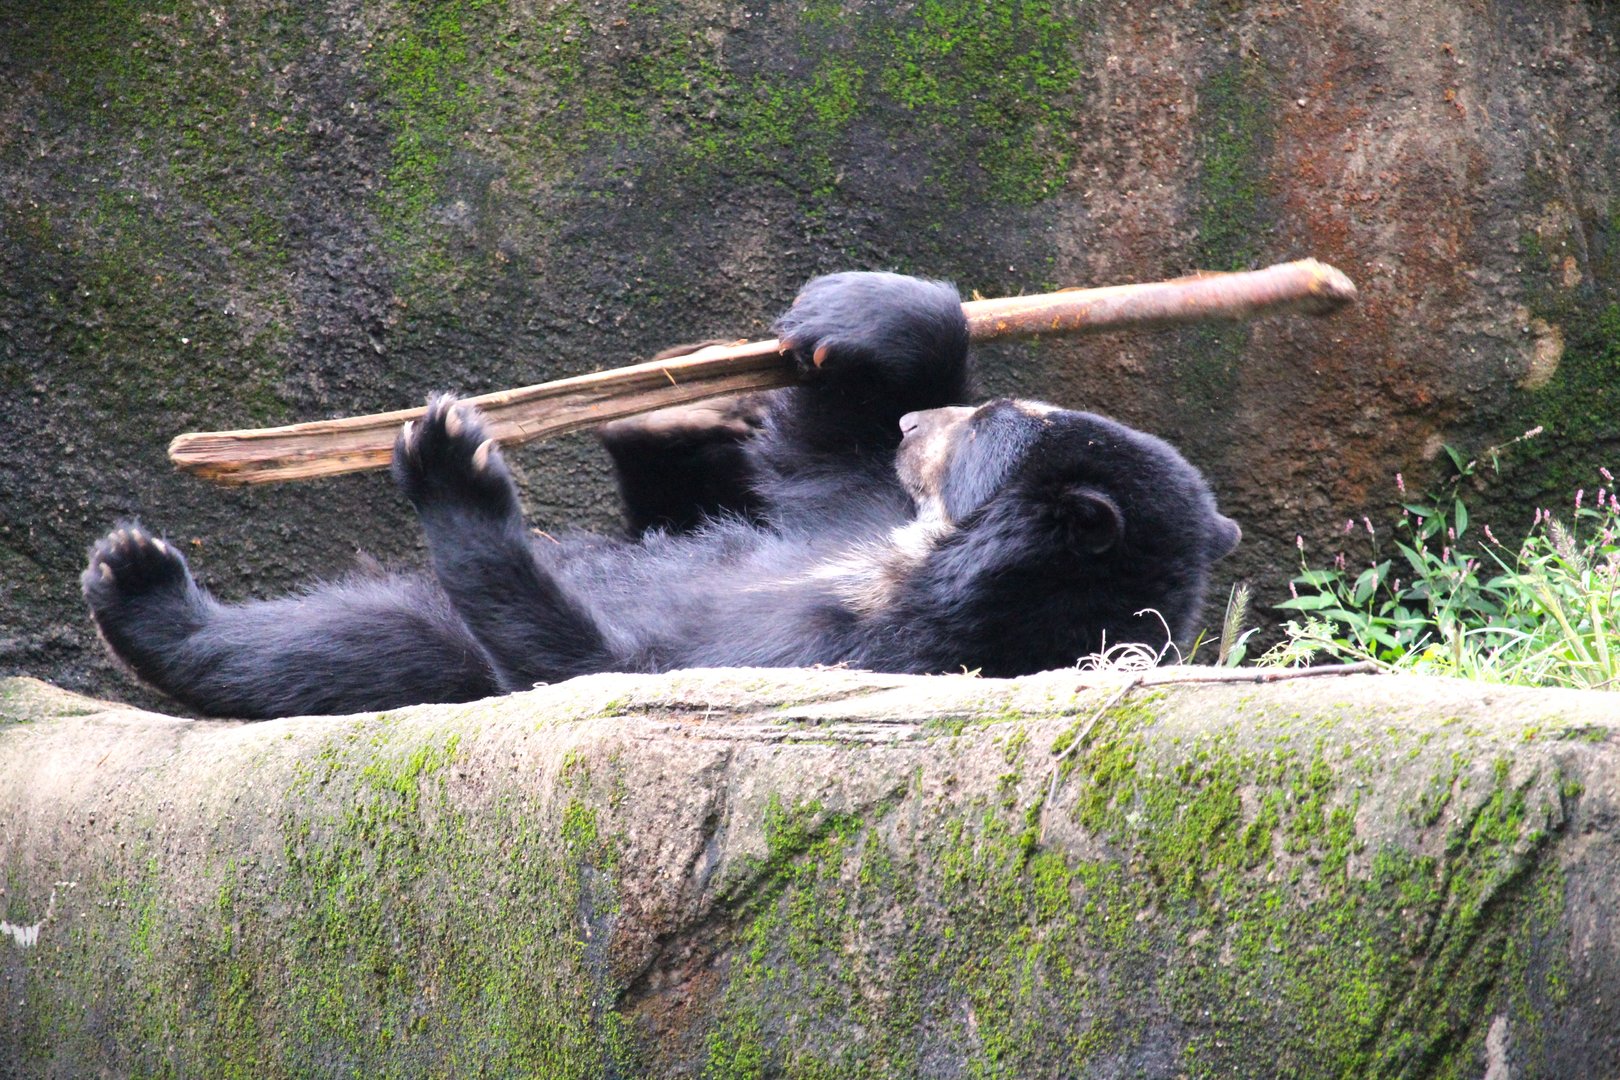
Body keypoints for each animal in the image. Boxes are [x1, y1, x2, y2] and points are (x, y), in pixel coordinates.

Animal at [83, 271, 1241, 719]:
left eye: (984, 429)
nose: (924, 430)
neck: (905, 573)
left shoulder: (862, 650)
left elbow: (609, 664)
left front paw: (456, 461)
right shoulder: (857, 519)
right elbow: (825, 462)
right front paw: (845, 323)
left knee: (361, 643)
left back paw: (139, 586)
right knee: (344, 636)